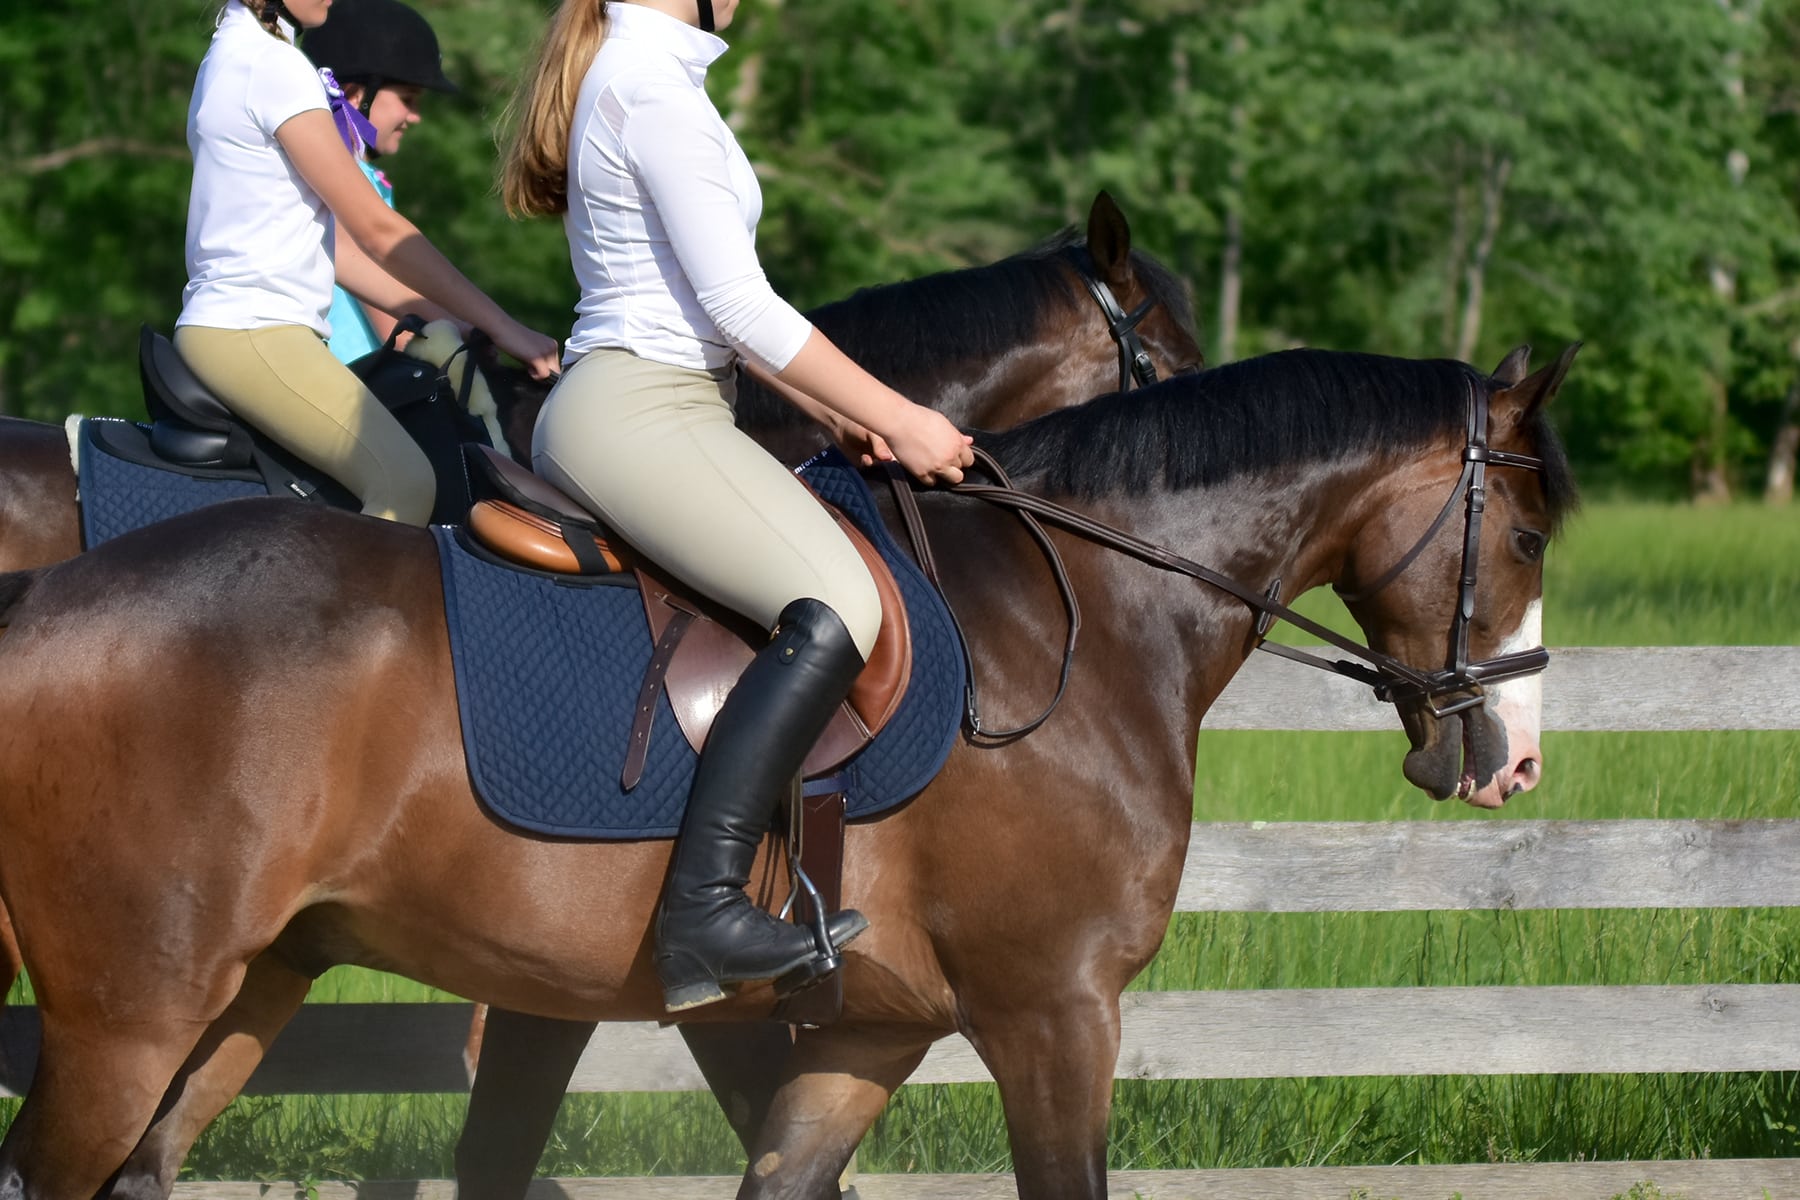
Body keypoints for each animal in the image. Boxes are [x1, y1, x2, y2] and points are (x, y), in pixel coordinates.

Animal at [0, 341, 1576, 1194]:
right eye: (1528, 535)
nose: (1510, 760)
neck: (1084, 611)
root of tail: (47, 600)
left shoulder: (872, 1037)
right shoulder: (1053, 1013)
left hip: (249, 983)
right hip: (125, 1015)